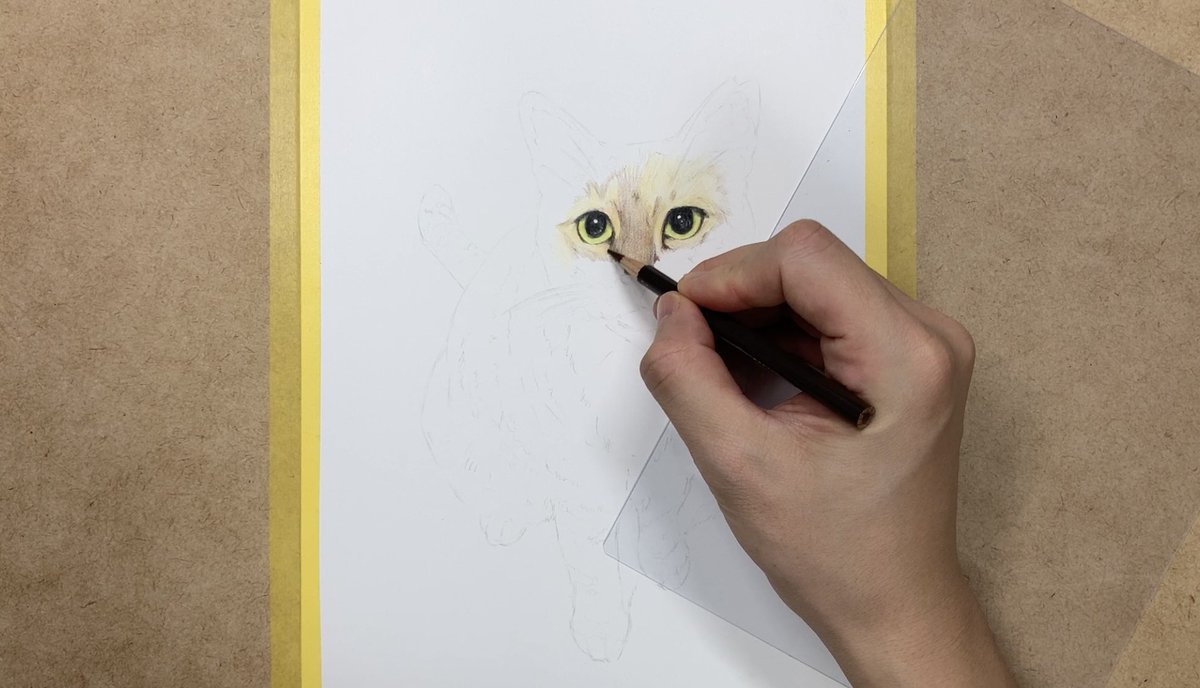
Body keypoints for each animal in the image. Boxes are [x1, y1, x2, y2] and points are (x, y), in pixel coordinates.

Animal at [419, 80, 759, 662]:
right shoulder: (578, 482)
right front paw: (602, 626)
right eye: (595, 228)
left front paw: (663, 556)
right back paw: (508, 511)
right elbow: (590, 564)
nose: (633, 268)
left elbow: (660, 515)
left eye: (683, 222)